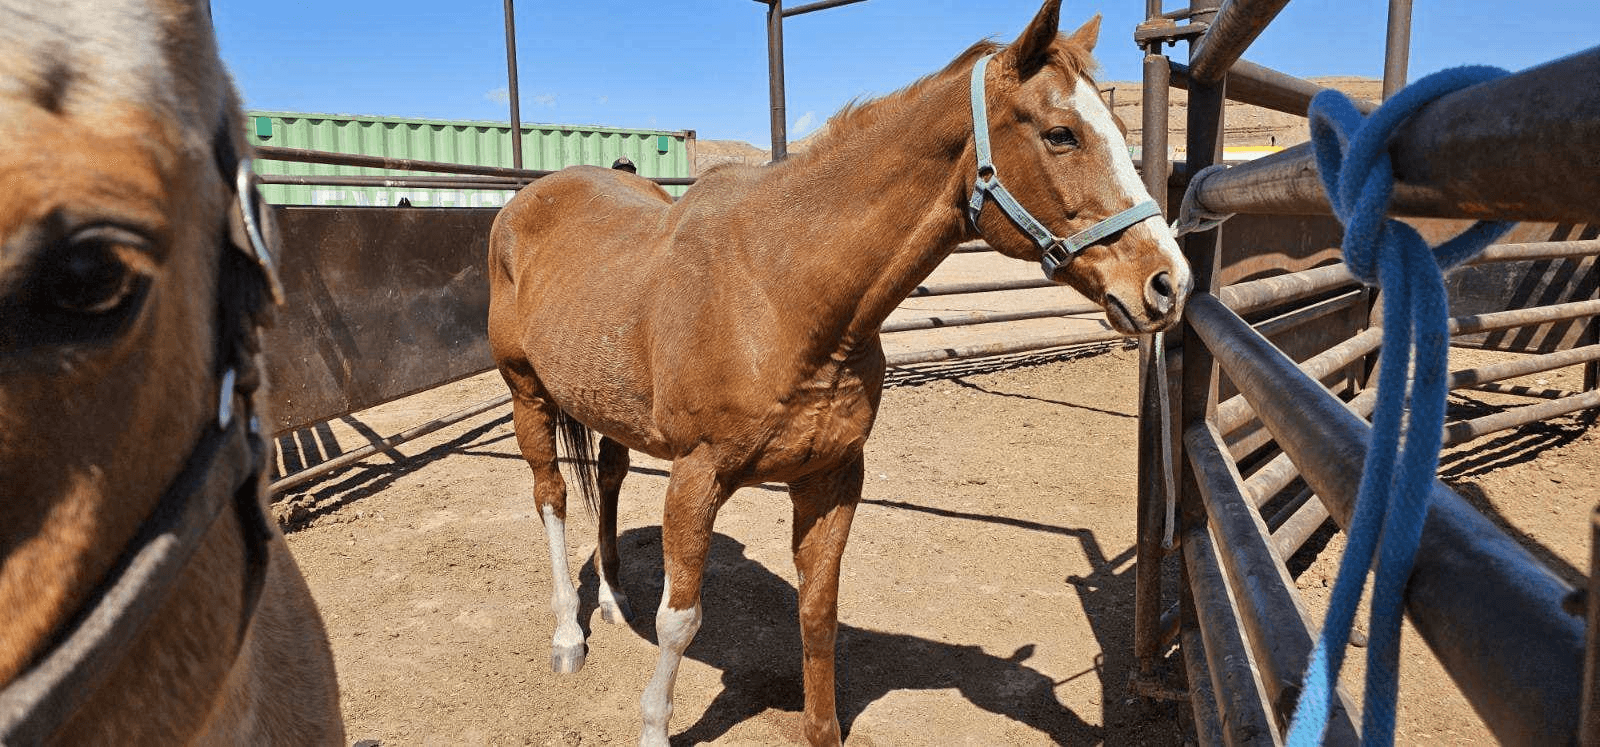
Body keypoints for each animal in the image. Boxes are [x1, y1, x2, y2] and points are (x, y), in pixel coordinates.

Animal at [488, 1, 1190, 744]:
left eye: (1119, 130)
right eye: (1061, 134)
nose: (1168, 283)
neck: (776, 290)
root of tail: (530, 198)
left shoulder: (831, 476)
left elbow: (818, 613)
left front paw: (819, 724)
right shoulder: (695, 476)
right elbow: (680, 620)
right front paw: (654, 723)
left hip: (605, 405)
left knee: (610, 482)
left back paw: (615, 601)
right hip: (527, 394)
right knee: (552, 498)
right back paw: (569, 634)